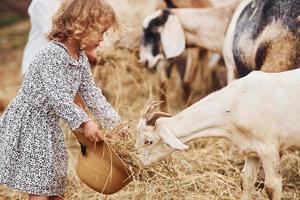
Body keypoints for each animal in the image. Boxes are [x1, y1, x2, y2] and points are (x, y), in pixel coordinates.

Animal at [136, 68, 300, 198]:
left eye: (148, 141)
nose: (137, 163)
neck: (236, 103)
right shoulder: (251, 150)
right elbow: (246, 181)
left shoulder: (268, 148)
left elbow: (272, 187)